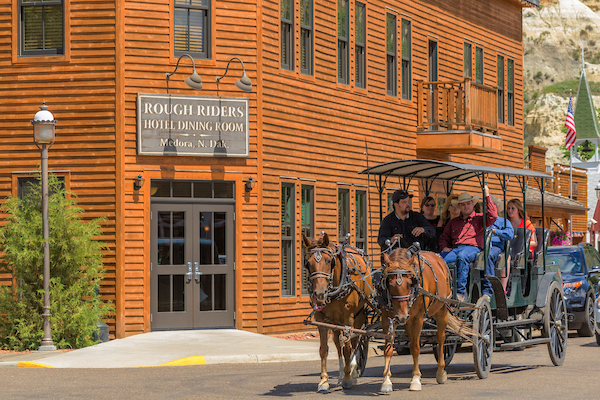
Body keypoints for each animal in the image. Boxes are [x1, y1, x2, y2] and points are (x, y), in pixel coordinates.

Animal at [302, 233, 372, 392]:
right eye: (307, 263)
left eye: (329, 261)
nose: (320, 293)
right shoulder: (321, 319)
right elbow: (324, 349)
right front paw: (324, 381)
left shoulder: (348, 318)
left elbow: (348, 348)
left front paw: (348, 378)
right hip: (335, 321)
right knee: (337, 341)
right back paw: (341, 373)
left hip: (359, 315)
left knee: (354, 341)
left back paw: (352, 372)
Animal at [380, 248, 474, 392]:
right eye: (389, 284)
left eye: (409, 284)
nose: (401, 316)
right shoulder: (387, 319)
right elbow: (388, 349)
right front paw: (386, 381)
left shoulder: (417, 318)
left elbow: (415, 348)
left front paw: (415, 379)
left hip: (441, 310)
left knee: (440, 338)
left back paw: (441, 372)